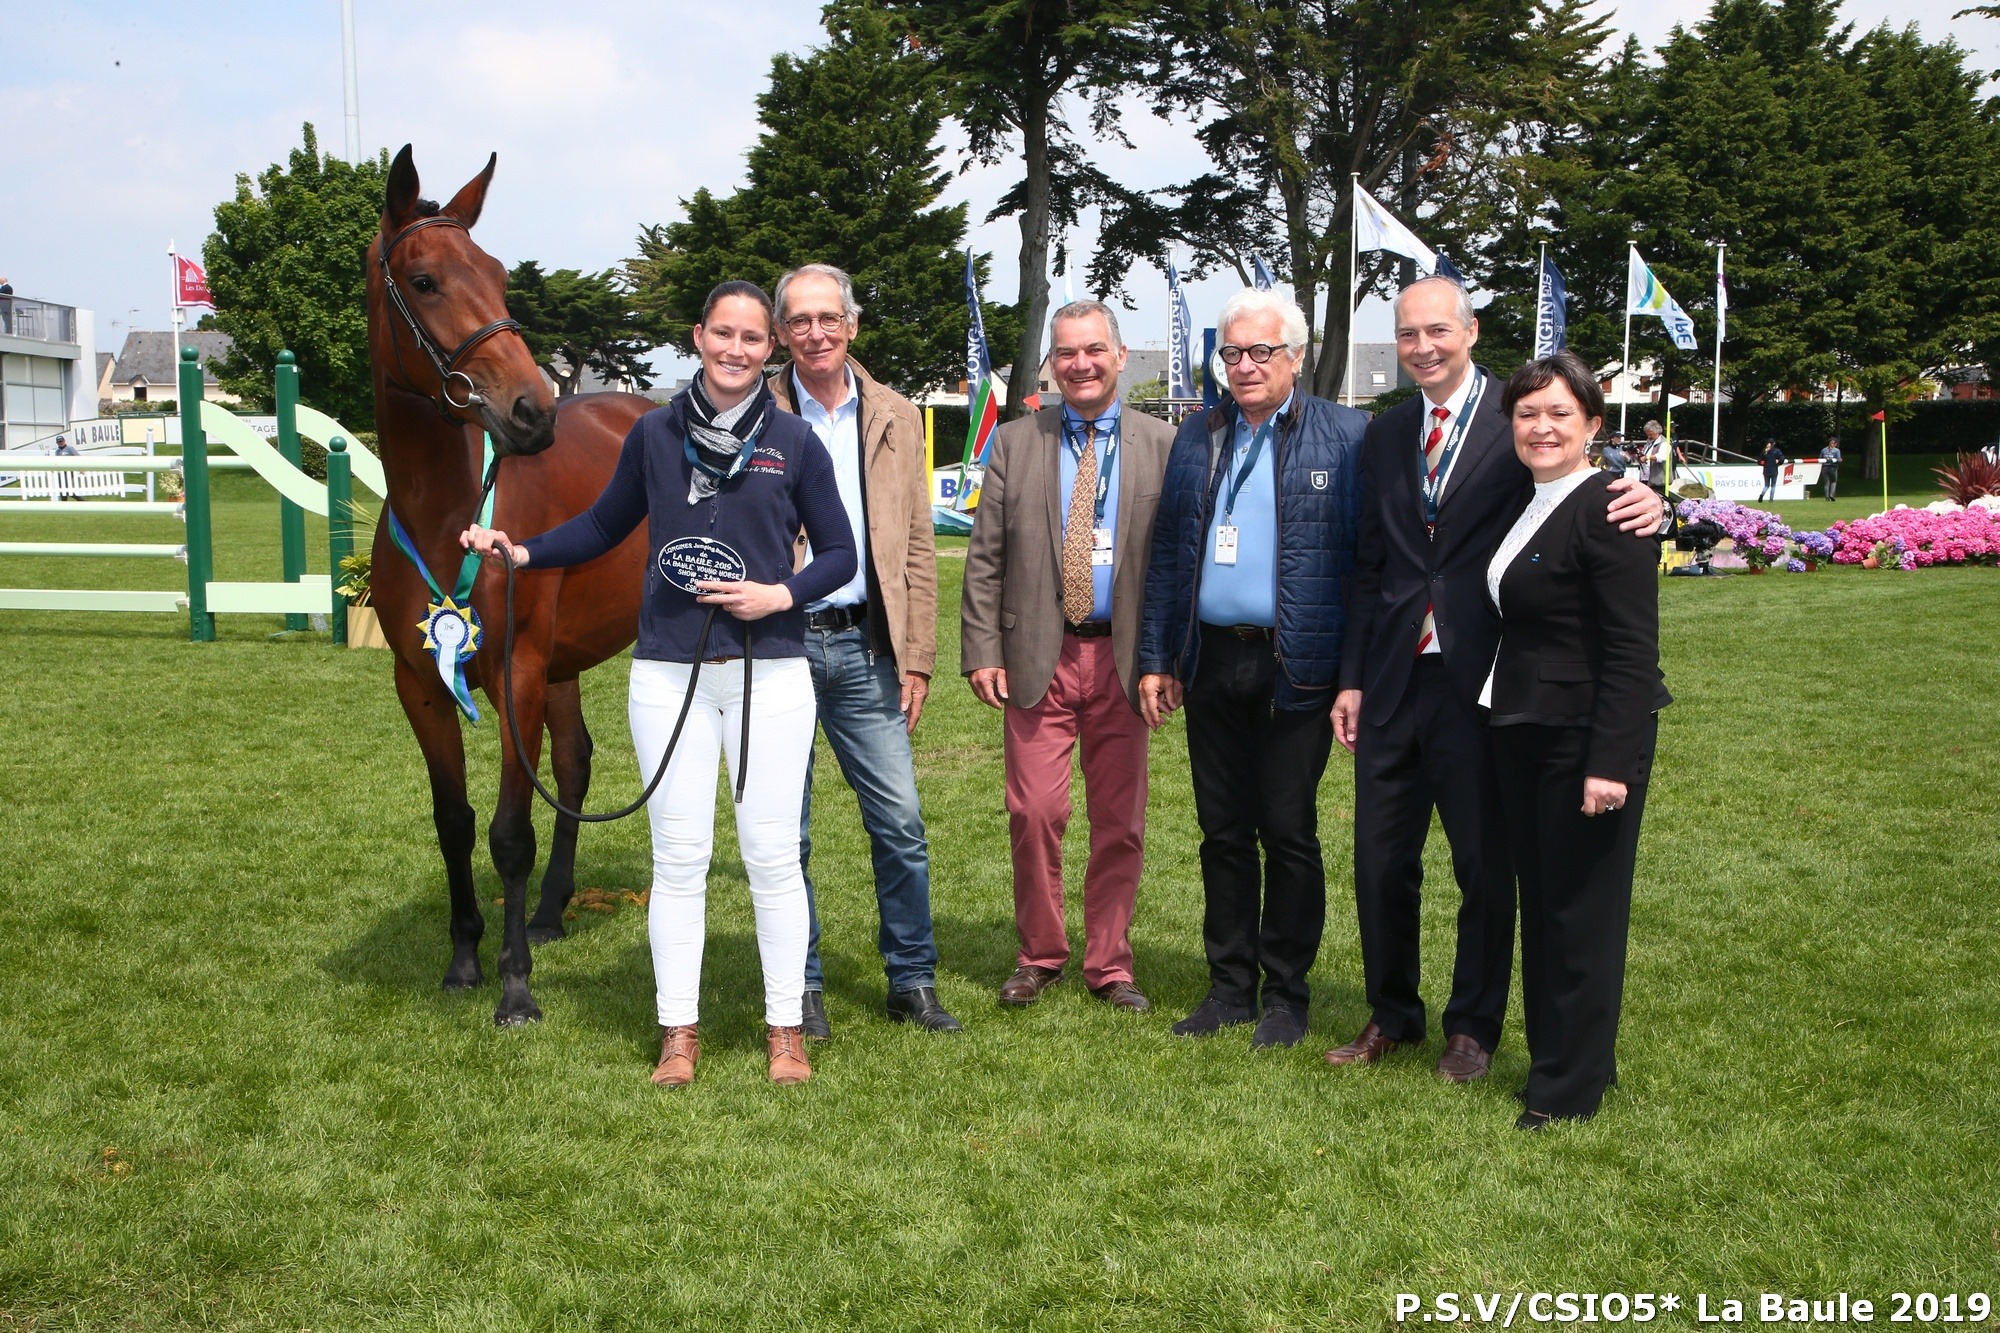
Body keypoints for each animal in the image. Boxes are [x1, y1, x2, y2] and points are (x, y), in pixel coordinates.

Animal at [372, 143, 652, 1016]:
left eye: (498, 275)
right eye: (425, 279)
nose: (532, 409)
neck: (447, 511)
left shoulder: (514, 674)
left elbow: (509, 833)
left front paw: (515, 984)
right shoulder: (421, 682)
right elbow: (455, 821)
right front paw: (464, 958)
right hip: (559, 666)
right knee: (575, 764)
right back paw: (554, 908)